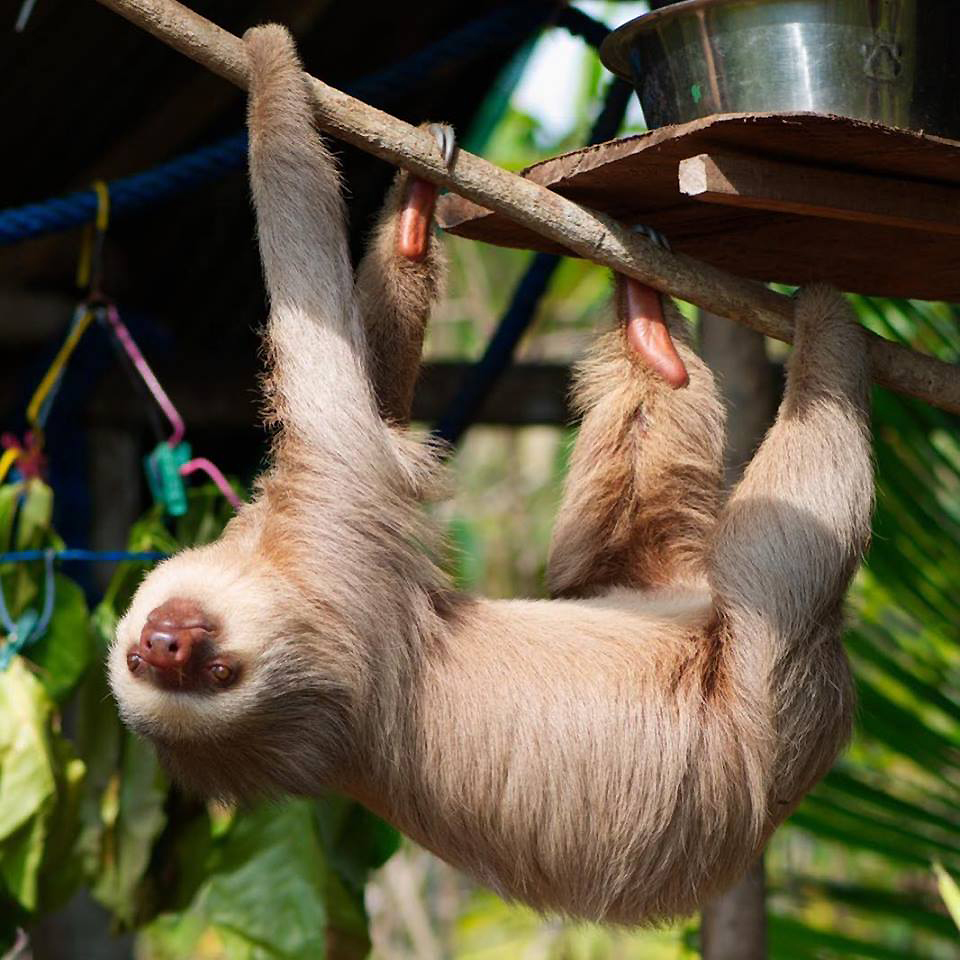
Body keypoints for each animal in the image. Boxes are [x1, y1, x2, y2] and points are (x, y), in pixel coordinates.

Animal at [108, 25, 873, 925]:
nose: (168, 645)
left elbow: (366, 386)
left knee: (631, 508)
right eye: (204, 673)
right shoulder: (341, 557)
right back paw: (827, 325)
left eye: (170, 656)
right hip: (770, 705)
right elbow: (326, 372)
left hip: (649, 581)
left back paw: (647, 314)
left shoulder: (293, 531)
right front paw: (269, 64)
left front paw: (408, 206)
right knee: (787, 538)